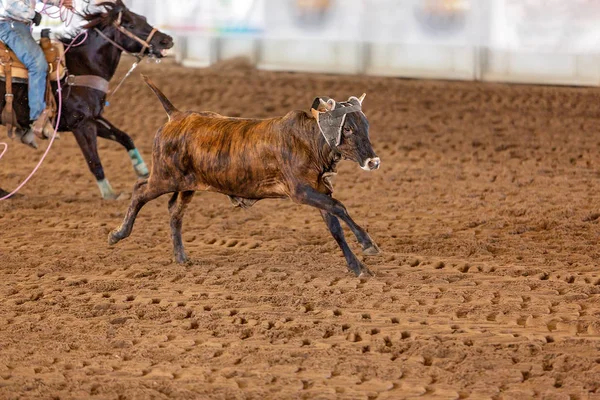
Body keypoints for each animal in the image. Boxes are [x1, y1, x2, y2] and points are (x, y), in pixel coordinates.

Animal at [0, 0, 173, 199]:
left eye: (144, 18)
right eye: (129, 24)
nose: (167, 40)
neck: (83, 66)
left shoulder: (93, 118)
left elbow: (124, 136)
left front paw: (142, 170)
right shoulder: (81, 124)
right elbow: (94, 161)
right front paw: (110, 194)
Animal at [108, 74, 382, 276]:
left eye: (366, 126)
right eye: (347, 128)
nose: (373, 161)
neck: (309, 140)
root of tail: (176, 116)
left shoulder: (319, 190)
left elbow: (334, 224)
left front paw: (357, 266)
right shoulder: (300, 191)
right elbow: (339, 207)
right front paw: (368, 243)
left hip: (187, 184)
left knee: (175, 212)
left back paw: (181, 257)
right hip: (164, 177)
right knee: (140, 191)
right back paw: (117, 234)